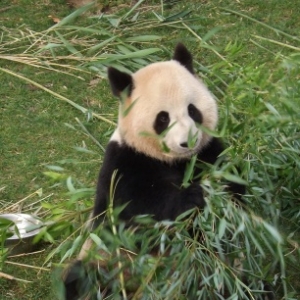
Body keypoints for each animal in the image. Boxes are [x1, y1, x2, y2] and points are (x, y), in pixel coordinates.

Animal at [62, 43, 274, 298]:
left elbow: (233, 191)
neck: (174, 161)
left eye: (193, 110)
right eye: (162, 119)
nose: (188, 142)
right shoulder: (123, 165)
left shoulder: (208, 152)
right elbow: (139, 213)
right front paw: (193, 197)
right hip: (105, 258)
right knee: (82, 278)